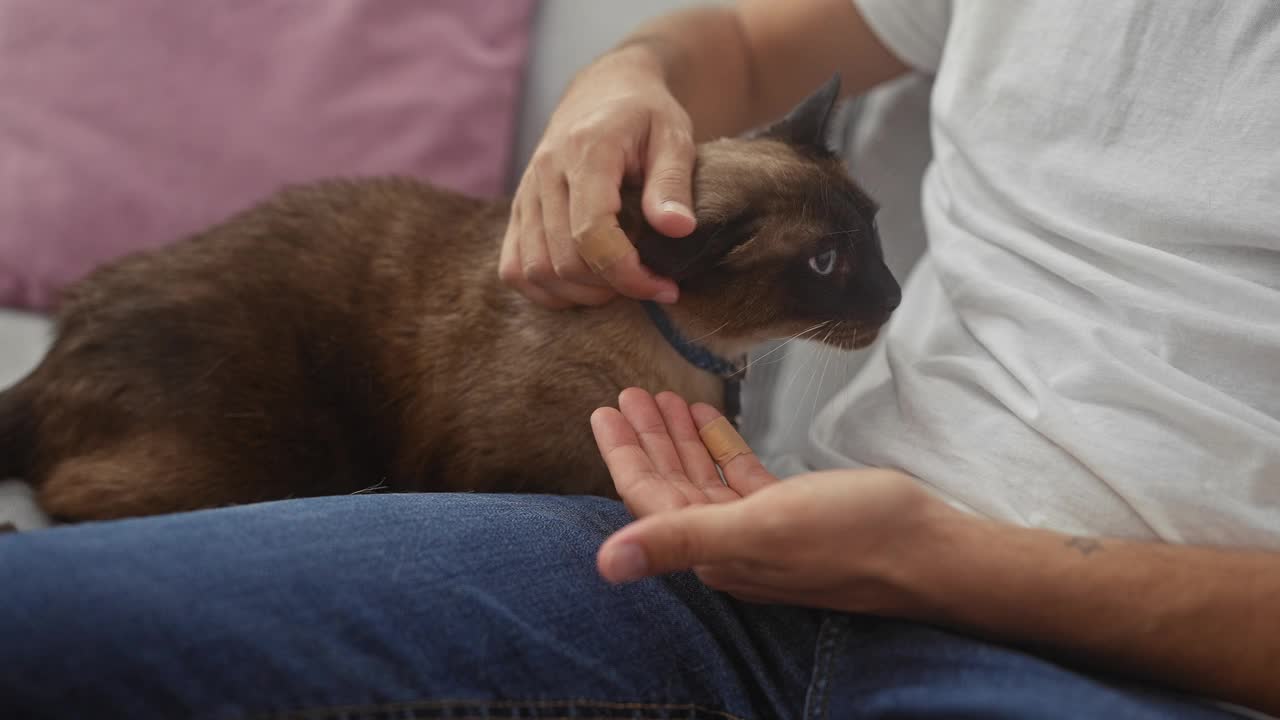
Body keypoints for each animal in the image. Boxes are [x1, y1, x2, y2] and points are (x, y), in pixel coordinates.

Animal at [0, 74, 901, 520]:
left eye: (873, 227)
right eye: (825, 263)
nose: (892, 297)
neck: (697, 356)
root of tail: (59, 341)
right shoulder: (511, 471)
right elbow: (584, 486)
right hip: (261, 455)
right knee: (72, 501)